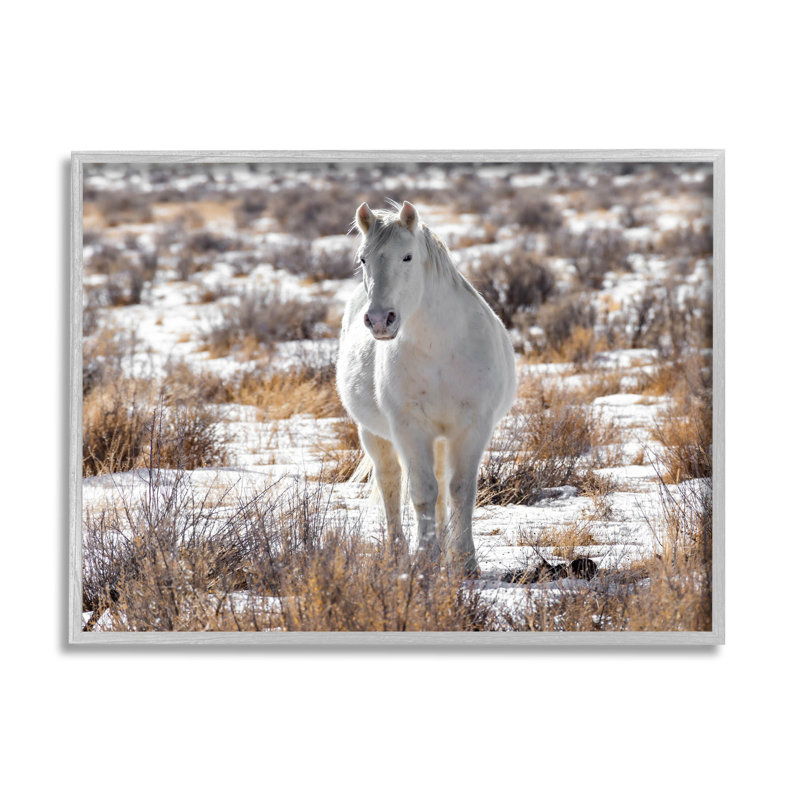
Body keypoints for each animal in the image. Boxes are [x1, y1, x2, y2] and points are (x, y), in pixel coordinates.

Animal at [336, 201, 516, 575]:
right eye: (363, 258)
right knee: (390, 483)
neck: (440, 349)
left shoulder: (472, 426)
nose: (380, 320)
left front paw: (464, 562)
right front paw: (425, 560)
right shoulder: (409, 428)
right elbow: (422, 492)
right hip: (373, 434)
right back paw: (397, 552)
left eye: (407, 257)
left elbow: (461, 490)